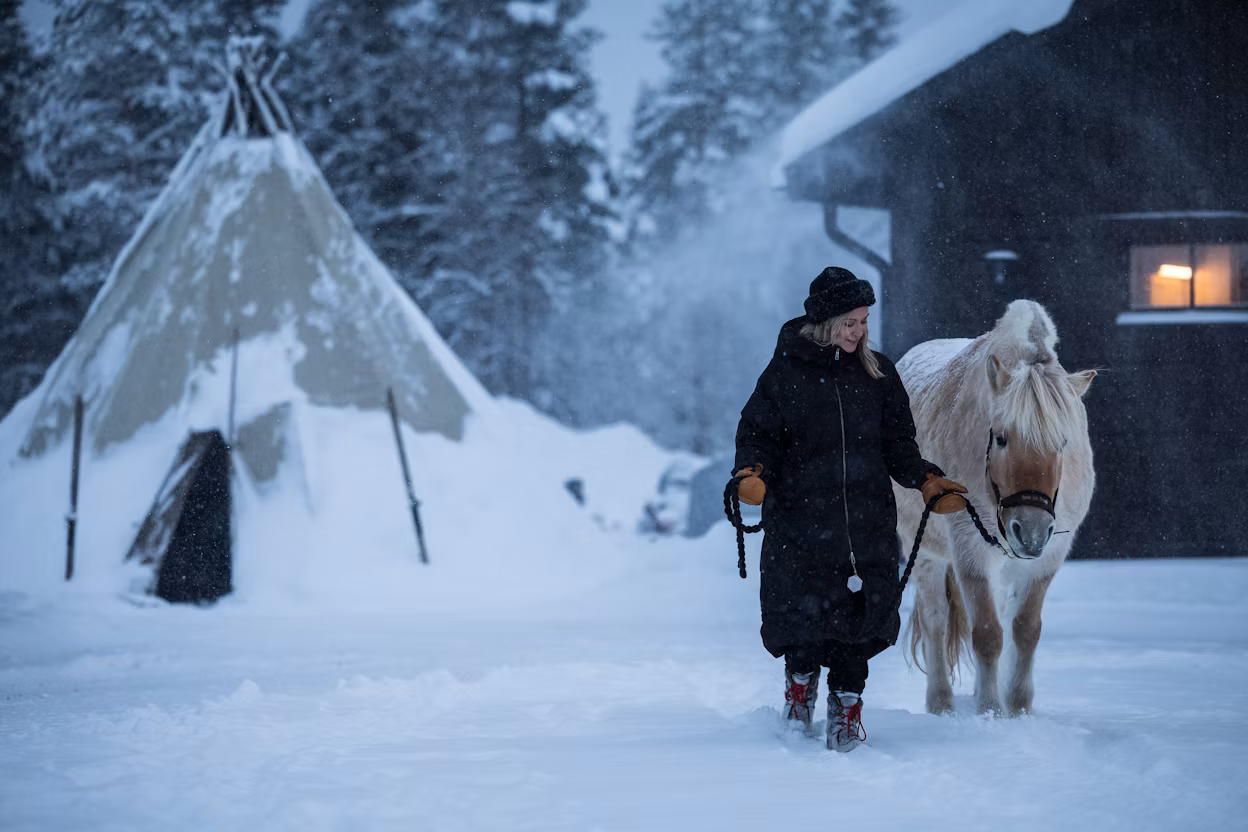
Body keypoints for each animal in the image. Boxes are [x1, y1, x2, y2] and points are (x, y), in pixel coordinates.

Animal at [894, 299, 1097, 716]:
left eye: (1063, 442)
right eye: (1001, 438)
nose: (1030, 530)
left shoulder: (1048, 556)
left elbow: (1024, 630)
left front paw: (1017, 707)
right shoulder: (970, 548)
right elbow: (986, 633)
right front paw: (990, 711)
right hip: (925, 553)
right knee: (936, 619)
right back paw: (941, 703)